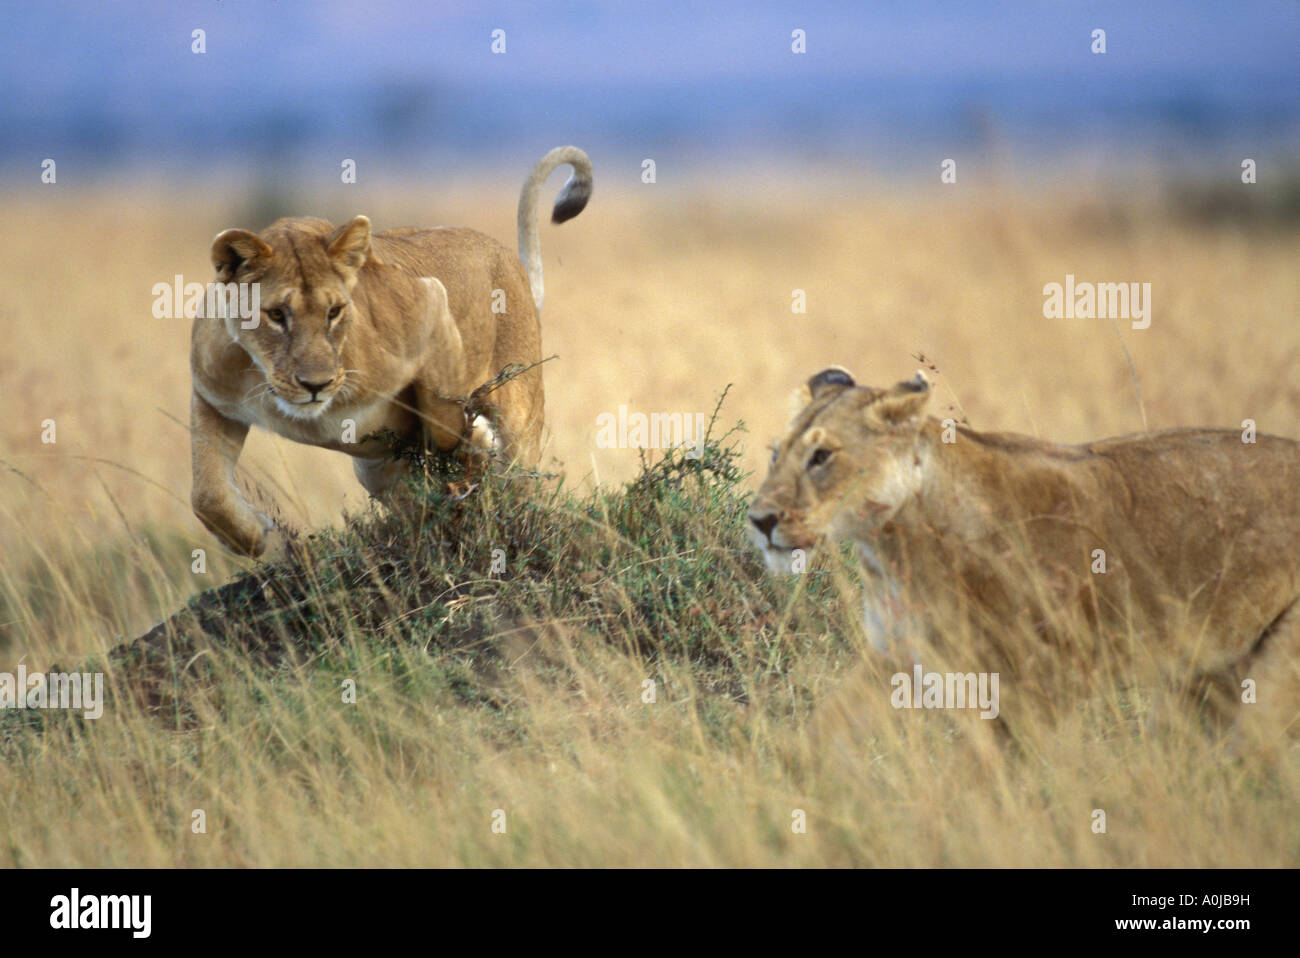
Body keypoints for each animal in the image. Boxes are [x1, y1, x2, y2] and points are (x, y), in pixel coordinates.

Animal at [190, 146, 593, 557]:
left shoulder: (430, 298)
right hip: (372, 468)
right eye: (275, 315)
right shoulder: (211, 394)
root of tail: (505, 255)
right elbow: (207, 495)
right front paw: (263, 538)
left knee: (521, 486)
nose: (315, 385)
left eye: (335, 312)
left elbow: (443, 417)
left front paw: (476, 442)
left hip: (520, 417)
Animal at [748, 366, 1300, 744]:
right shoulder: (893, 657)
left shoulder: (1045, 681)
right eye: (776, 453)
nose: (759, 520)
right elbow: (814, 741)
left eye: (822, 457)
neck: (890, 547)